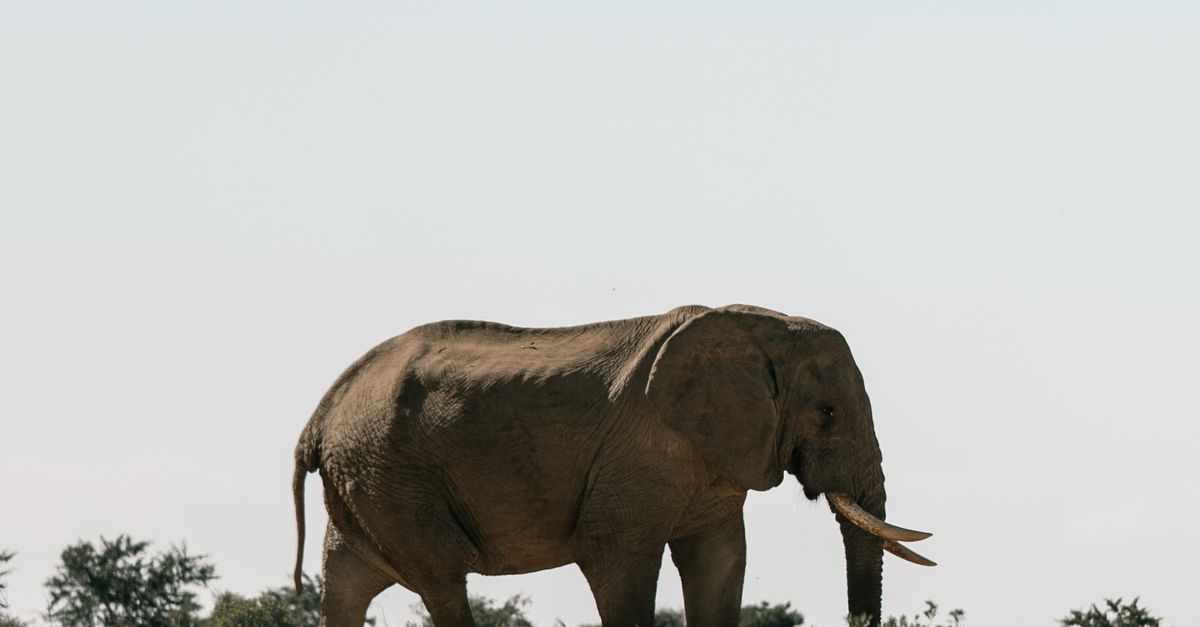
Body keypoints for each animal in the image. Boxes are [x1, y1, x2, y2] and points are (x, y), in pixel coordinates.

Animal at [292, 304, 934, 627]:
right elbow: (616, 559)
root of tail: (320, 414)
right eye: (827, 413)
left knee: (346, 582)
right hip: (391, 474)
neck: (757, 326)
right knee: (443, 581)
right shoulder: (641, 453)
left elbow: (720, 562)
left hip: (368, 479)